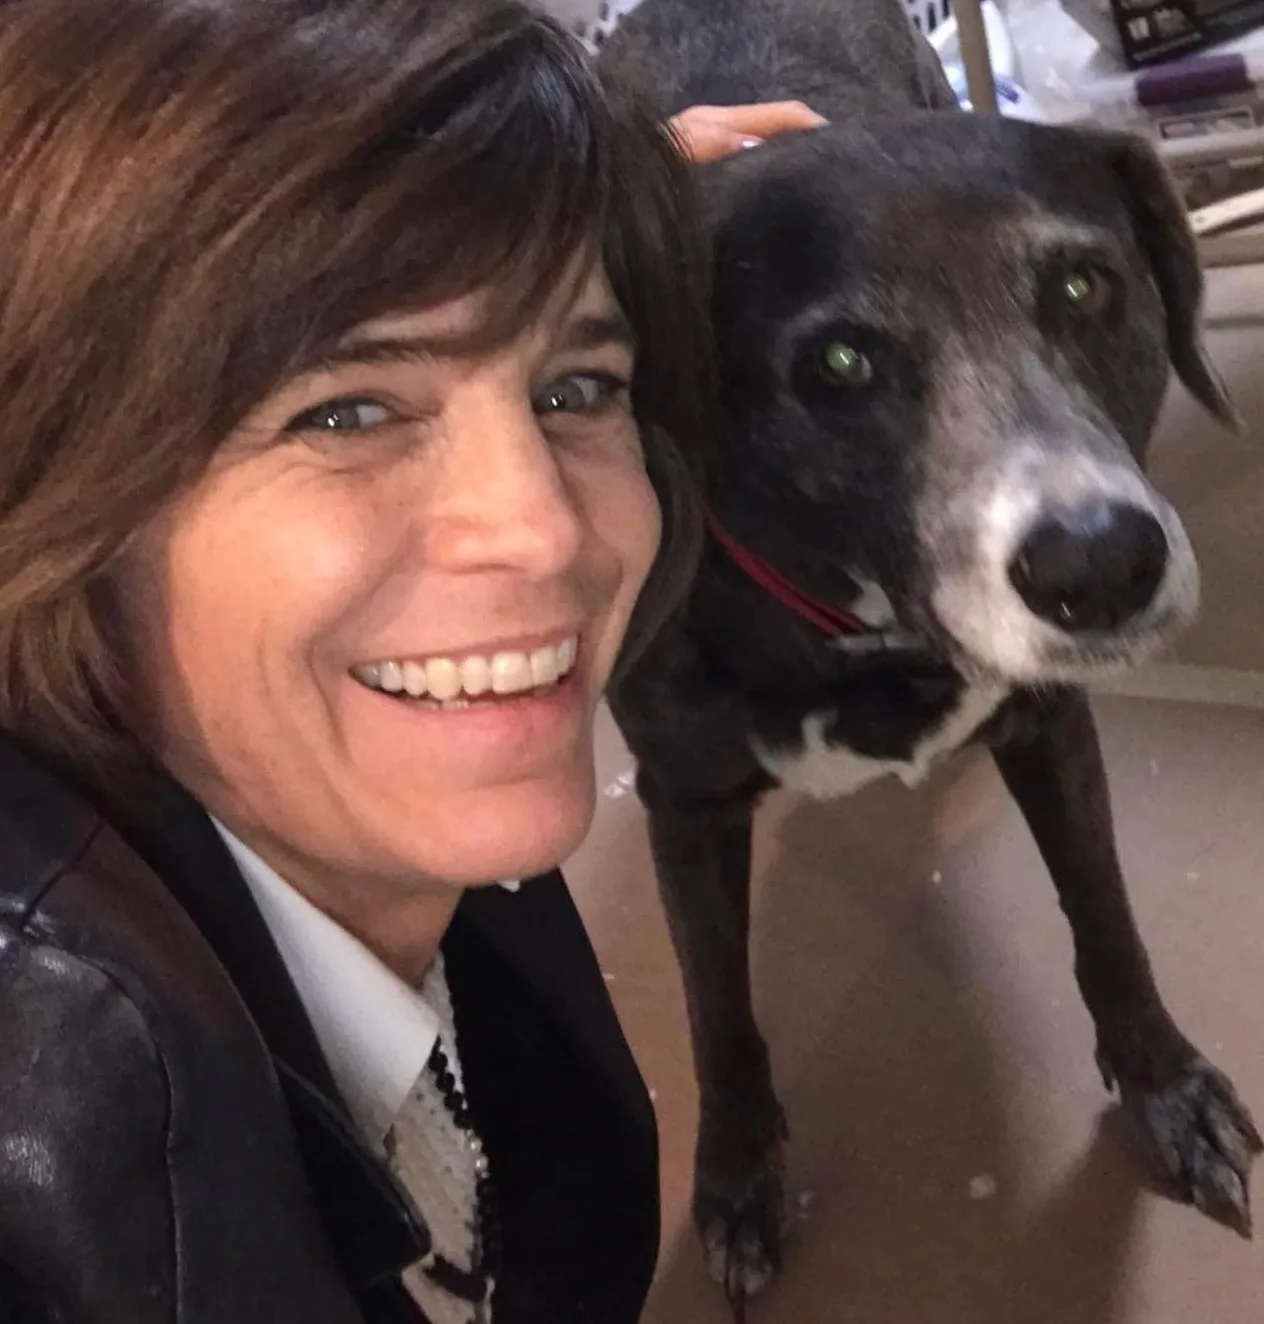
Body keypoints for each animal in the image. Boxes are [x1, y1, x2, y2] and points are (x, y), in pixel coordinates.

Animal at [600, 0, 1264, 1308]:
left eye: (1085, 286)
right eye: (837, 365)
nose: (1097, 565)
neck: (859, 630)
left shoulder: (1051, 723)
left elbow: (1106, 917)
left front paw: (1163, 1084)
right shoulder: (681, 803)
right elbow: (718, 1008)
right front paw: (736, 1175)